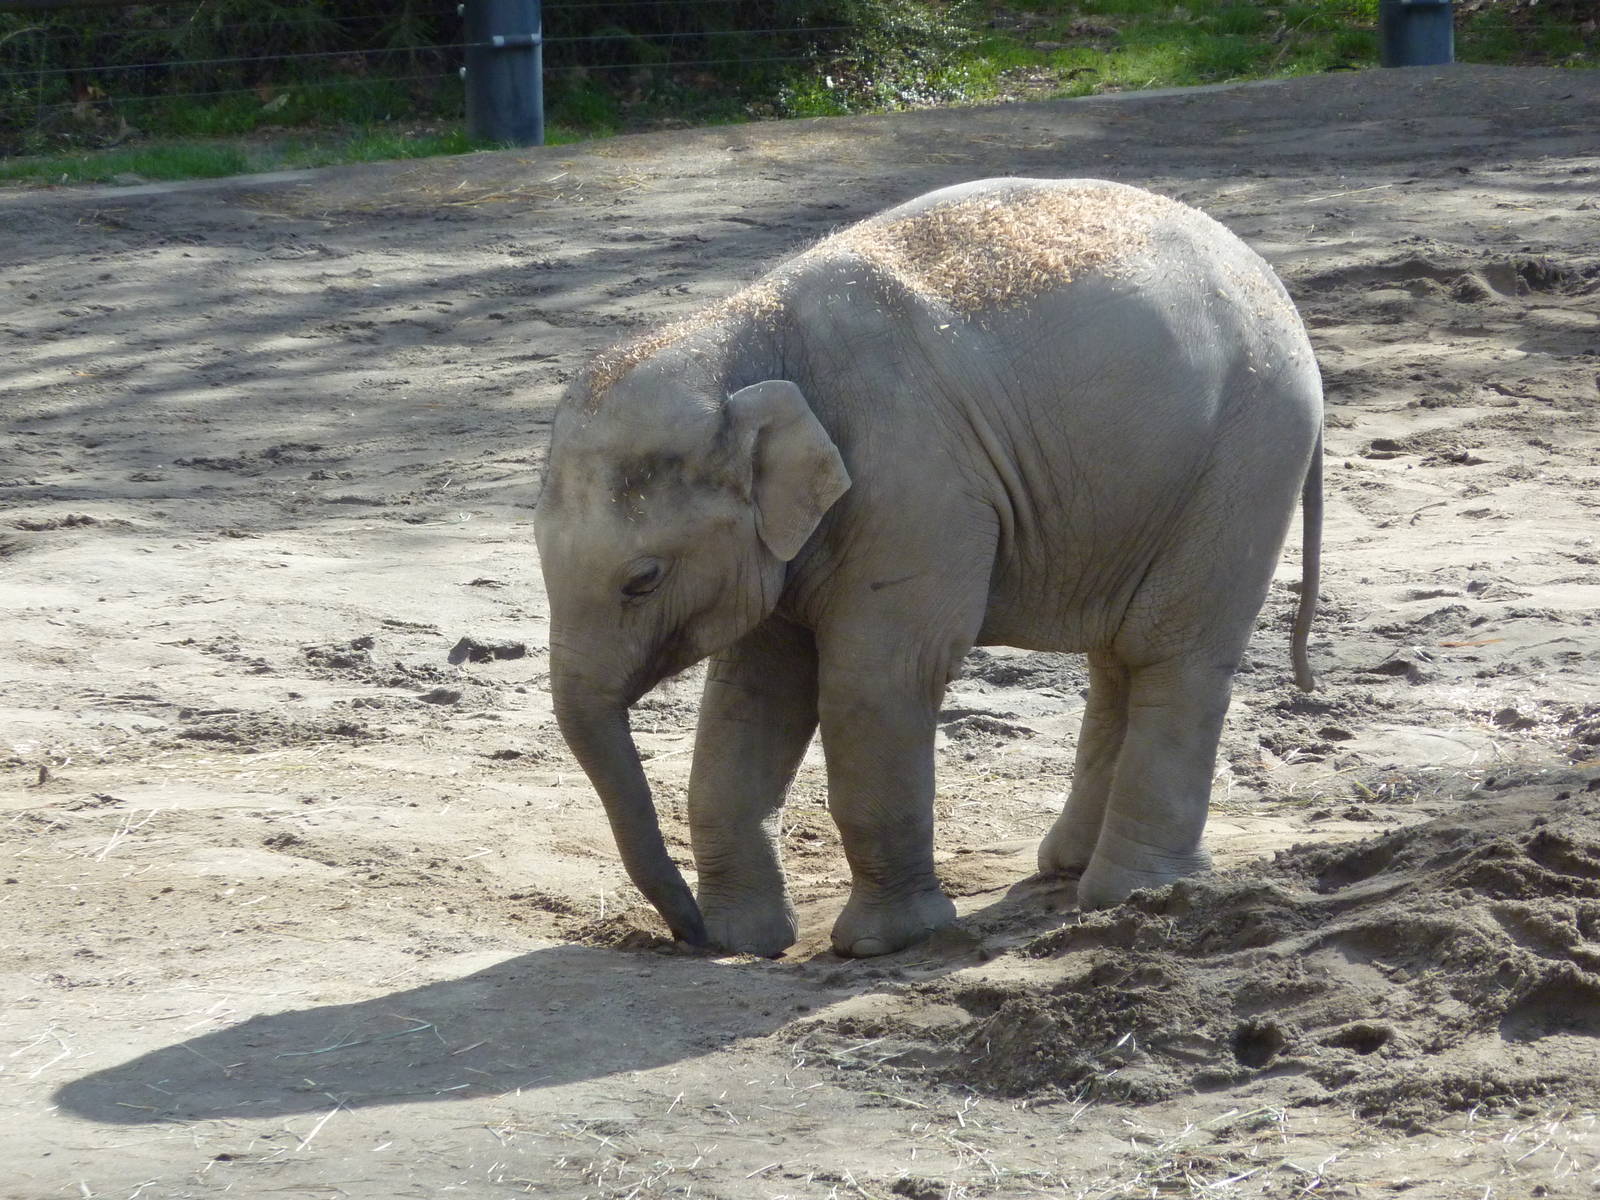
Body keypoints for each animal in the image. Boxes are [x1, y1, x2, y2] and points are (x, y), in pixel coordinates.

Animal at [534, 177, 1323, 958]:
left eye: (642, 580)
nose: (685, 933)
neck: (748, 337)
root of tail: (1274, 287)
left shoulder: (913, 486)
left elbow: (876, 680)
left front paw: (886, 942)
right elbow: (752, 692)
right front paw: (746, 941)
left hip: (1247, 456)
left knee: (1171, 651)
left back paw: (1130, 894)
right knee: (1118, 658)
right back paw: (1068, 867)